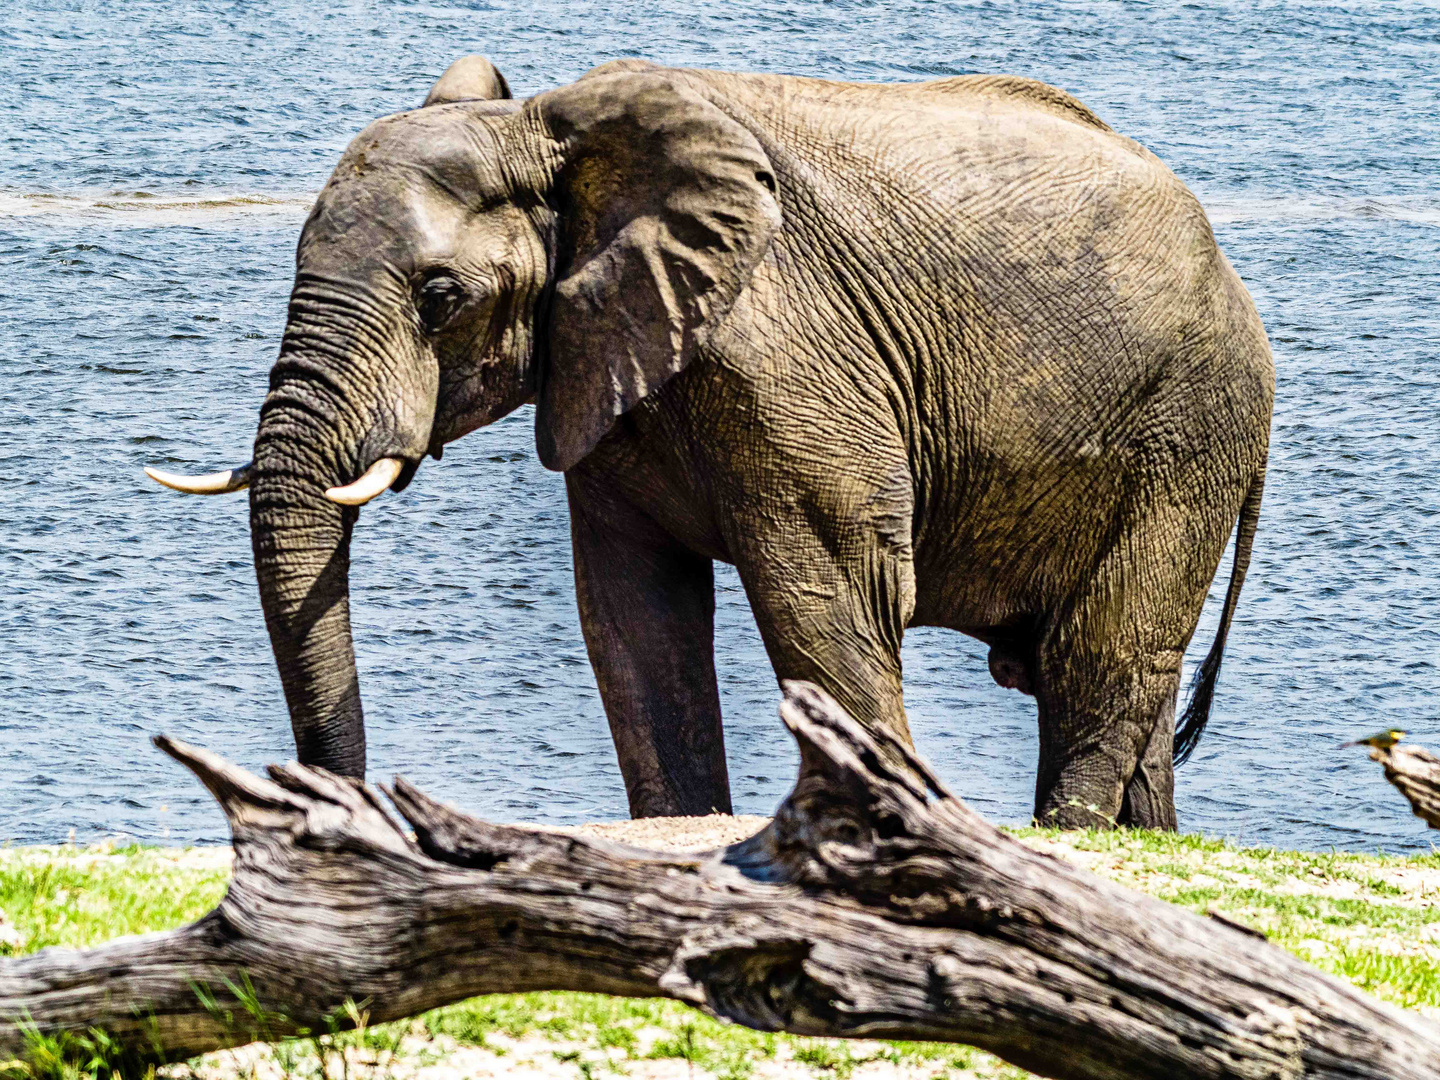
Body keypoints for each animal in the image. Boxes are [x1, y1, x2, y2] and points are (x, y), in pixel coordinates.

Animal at [149, 52, 1272, 829]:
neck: (556, 136)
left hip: (1189, 430)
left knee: (1100, 655)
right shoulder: (604, 363)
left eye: (440, 297)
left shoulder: (793, 356)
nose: (340, 798)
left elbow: (825, 596)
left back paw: (1065, 842)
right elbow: (632, 612)